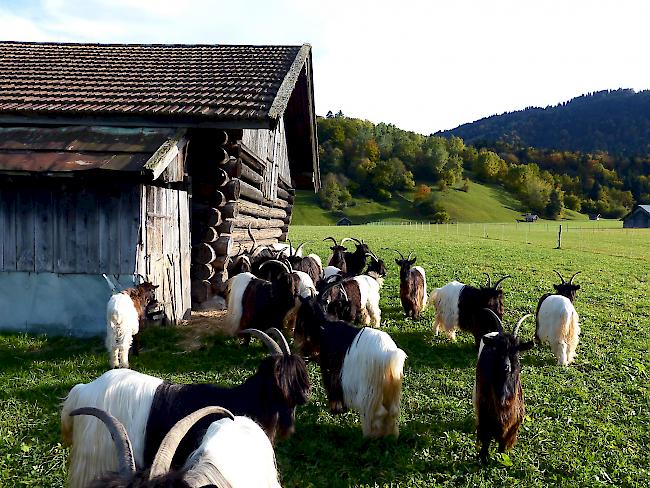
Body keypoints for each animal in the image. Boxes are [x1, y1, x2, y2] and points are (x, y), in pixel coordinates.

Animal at [62, 328, 308, 488]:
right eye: (283, 378)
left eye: (300, 373)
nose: (305, 395)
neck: (244, 399)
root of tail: (83, 390)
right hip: (95, 458)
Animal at [292, 294, 402, 438]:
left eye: (300, 313)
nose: (295, 336)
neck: (325, 325)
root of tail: (389, 355)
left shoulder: (330, 368)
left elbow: (332, 387)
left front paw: (336, 409)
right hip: (391, 391)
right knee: (392, 412)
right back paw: (391, 434)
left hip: (370, 392)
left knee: (378, 412)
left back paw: (370, 435)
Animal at [470, 310, 532, 464]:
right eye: (497, 349)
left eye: (516, 351)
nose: (506, 367)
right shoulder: (486, 413)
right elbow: (485, 438)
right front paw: (483, 457)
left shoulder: (513, 420)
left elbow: (504, 441)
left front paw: (501, 457)